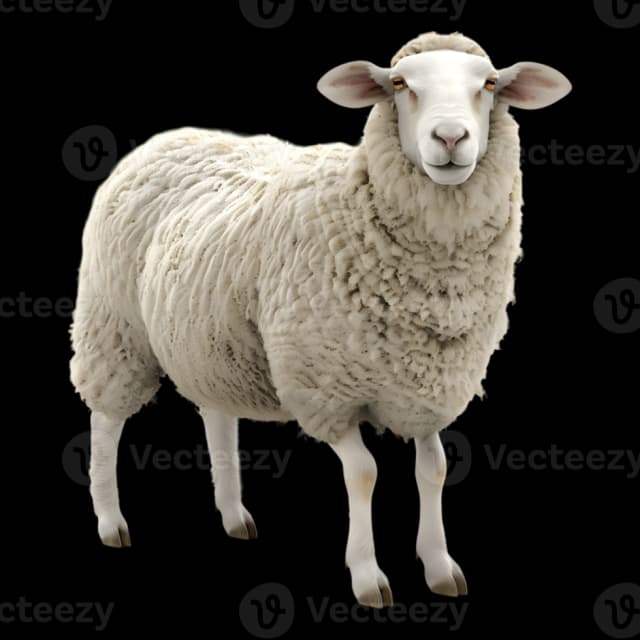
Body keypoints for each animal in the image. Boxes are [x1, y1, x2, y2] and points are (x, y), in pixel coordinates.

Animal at [69, 31, 571, 608]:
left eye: (489, 84)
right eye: (399, 84)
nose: (450, 137)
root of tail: (166, 138)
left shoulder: (422, 388)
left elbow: (434, 470)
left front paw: (440, 566)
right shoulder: (326, 388)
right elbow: (363, 473)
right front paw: (368, 575)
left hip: (211, 339)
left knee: (217, 415)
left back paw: (234, 516)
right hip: (114, 326)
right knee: (106, 420)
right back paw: (110, 521)